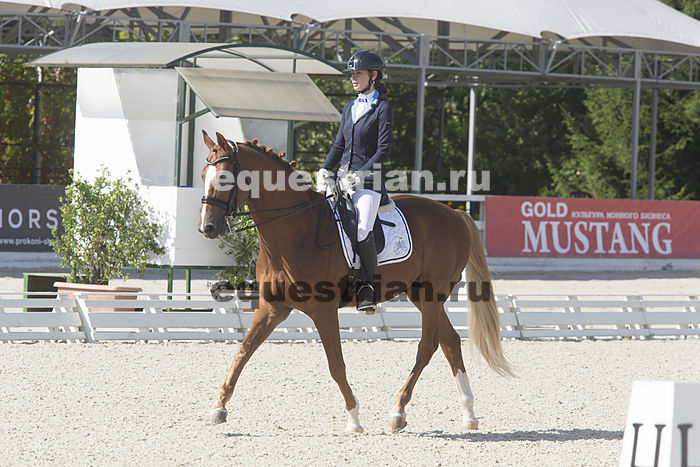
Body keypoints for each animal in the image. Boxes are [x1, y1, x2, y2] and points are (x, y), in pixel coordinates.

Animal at [198, 130, 512, 433]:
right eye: (203, 175)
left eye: (224, 178)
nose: (207, 228)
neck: (295, 232)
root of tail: (455, 214)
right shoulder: (272, 307)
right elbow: (242, 351)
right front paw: (217, 408)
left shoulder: (324, 311)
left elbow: (336, 364)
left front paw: (354, 418)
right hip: (420, 295)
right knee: (450, 342)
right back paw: (468, 414)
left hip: (433, 293)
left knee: (428, 346)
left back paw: (398, 412)